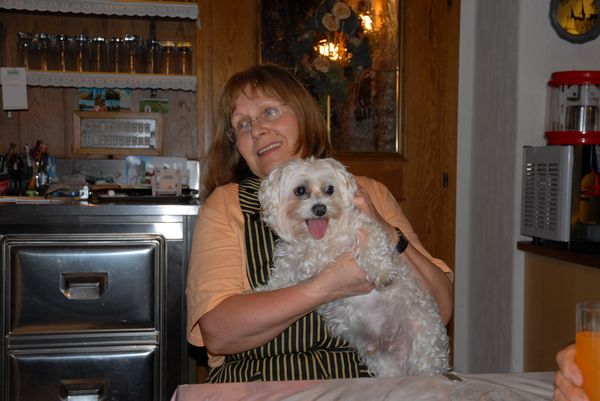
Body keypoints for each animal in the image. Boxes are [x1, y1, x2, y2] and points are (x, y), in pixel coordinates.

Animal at [257, 157, 450, 377]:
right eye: (300, 190)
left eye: (329, 189)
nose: (320, 208)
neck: (318, 240)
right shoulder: (291, 260)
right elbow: (281, 278)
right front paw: (264, 291)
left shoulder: (365, 228)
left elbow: (373, 249)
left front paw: (382, 273)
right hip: (383, 362)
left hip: (425, 345)